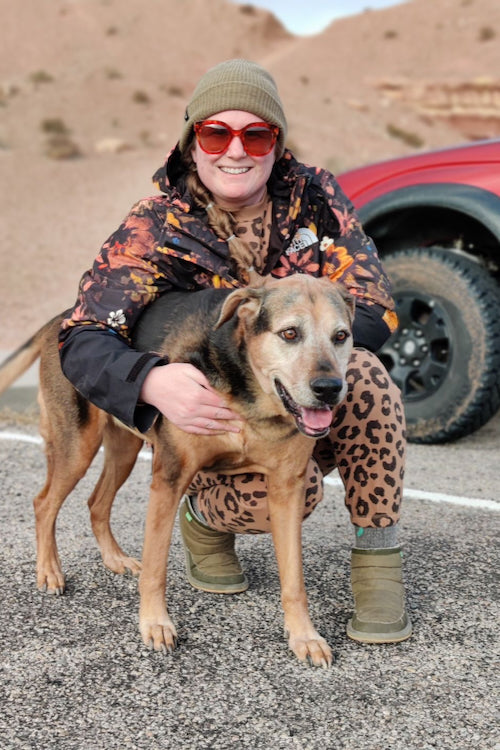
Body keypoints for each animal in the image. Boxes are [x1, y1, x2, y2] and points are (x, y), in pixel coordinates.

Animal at [0, 274, 354, 668]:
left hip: (125, 448)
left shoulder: (287, 489)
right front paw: (155, 624)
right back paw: (49, 571)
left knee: (96, 502)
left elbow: (294, 579)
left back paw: (115, 559)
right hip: (78, 447)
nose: (329, 389)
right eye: (290, 333)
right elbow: (156, 568)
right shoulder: (169, 478)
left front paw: (305, 637)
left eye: (341, 336)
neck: (249, 397)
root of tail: (61, 319)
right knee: (44, 503)